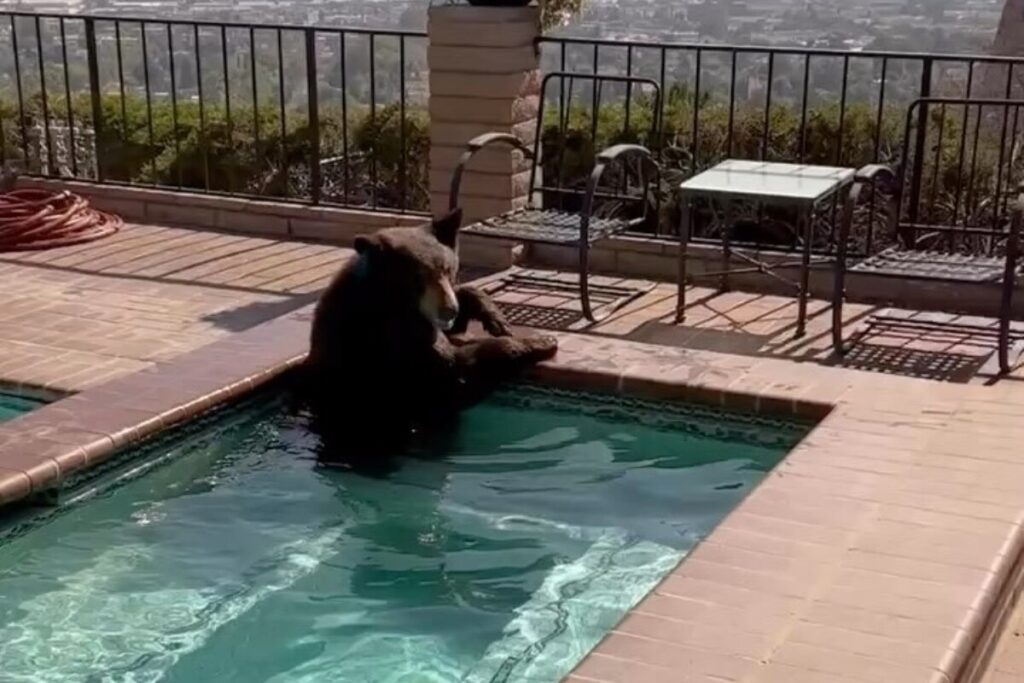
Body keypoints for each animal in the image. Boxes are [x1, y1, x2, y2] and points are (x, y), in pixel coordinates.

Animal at [300, 208, 558, 469]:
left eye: (447, 269)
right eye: (417, 276)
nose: (448, 310)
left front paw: (495, 318)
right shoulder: (392, 337)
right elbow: (453, 373)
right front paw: (542, 341)